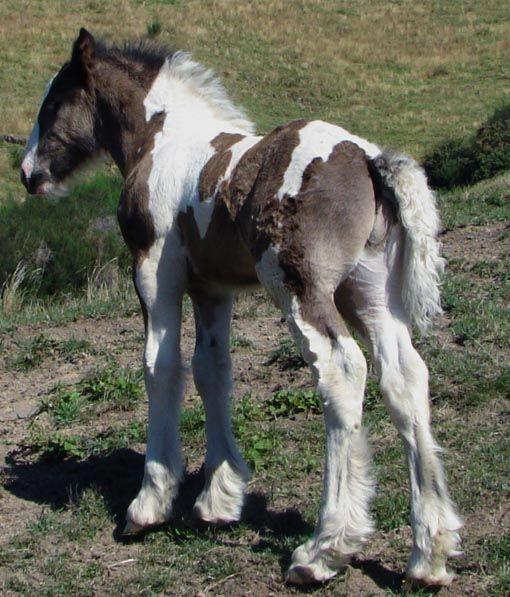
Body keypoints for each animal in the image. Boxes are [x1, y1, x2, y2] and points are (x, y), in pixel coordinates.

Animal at [20, 29, 462, 588]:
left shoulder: (153, 270)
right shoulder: (213, 289)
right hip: (369, 294)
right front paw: (218, 498)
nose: (27, 172)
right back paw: (430, 554)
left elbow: (161, 366)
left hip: (300, 288)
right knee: (405, 378)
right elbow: (212, 370)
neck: (161, 140)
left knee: (341, 372)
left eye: (54, 102)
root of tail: (369, 162)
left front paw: (150, 502)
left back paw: (324, 549)